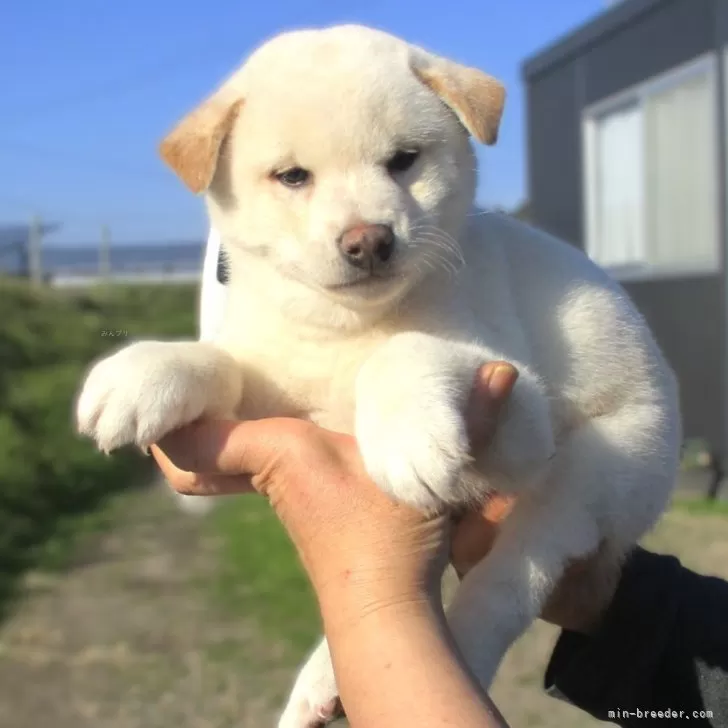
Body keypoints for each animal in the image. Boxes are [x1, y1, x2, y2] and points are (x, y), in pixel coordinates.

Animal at [78, 25, 684, 728]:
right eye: (293, 177)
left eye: (404, 161)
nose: (368, 240)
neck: (346, 328)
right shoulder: (271, 379)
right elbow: (223, 361)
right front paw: (145, 371)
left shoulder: (519, 407)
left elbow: (406, 352)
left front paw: (407, 433)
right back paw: (321, 680)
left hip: (595, 473)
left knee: (507, 585)